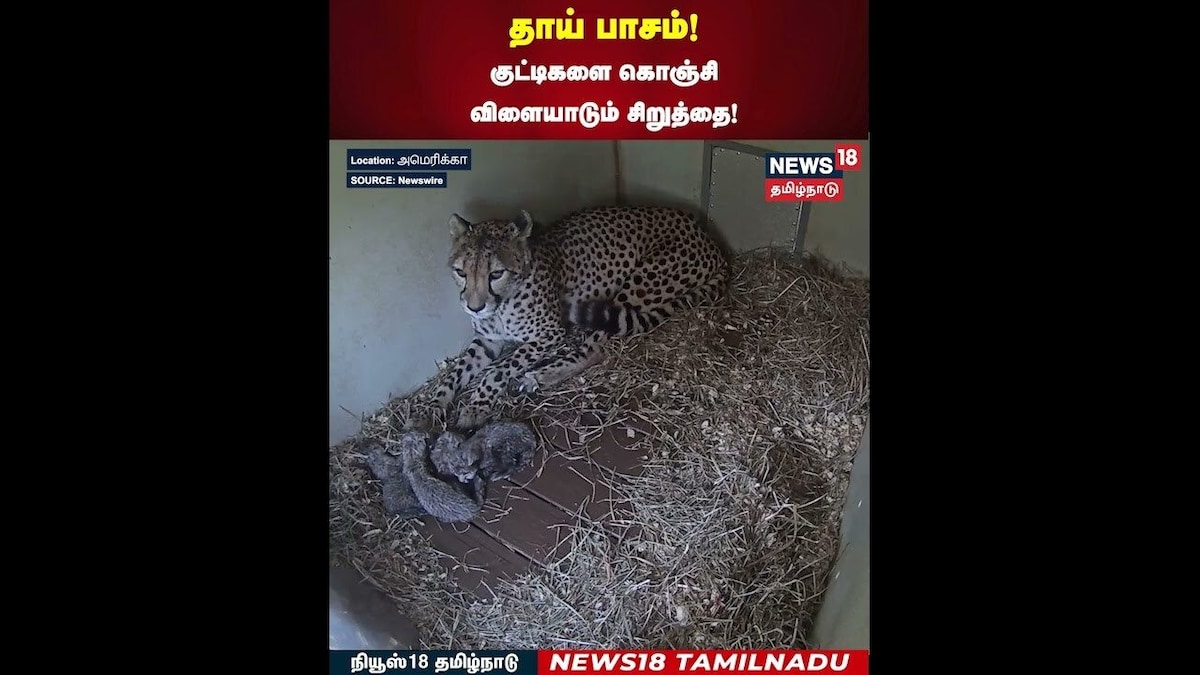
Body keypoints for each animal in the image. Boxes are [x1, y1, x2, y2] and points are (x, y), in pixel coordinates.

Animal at [431, 205, 730, 430]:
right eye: (461, 272)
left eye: (496, 273)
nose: (474, 307)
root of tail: (708, 237)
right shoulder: (487, 340)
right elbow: (457, 371)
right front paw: (433, 407)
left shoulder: (549, 333)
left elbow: (499, 369)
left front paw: (476, 406)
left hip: (637, 285)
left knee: (596, 348)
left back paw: (539, 375)